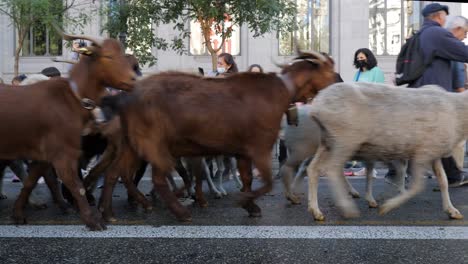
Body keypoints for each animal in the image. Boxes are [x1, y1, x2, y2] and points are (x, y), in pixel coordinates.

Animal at [1, 31, 137, 230]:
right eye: (108, 56)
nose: (133, 80)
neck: (71, 97)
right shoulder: (63, 152)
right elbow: (75, 184)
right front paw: (92, 220)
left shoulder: (46, 154)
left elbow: (31, 180)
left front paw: (17, 214)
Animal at [98, 51, 336, 221]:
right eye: (330, 69)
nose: (340, 80)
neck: (282, 89)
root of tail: (124, 98)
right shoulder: (260, 146)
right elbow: (268, 182)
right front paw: (243, 200)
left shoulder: (242, 151)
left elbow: (248, 178)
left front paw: (250, 205)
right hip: (153, 143)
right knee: (156, 178)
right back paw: (180, 211)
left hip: (132, 144)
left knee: (115, 173)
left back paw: (111, 212)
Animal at [308, 82, 464, 221]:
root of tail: (318, 103)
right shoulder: (424, 152)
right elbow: (417, 185)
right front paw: (389, 205)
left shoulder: (433, 153)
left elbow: (442, 180)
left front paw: (452, 210)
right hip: (345, 141)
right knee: (332, 169)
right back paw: (347, 207)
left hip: (328, 142)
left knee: (314, 169)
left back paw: (316, 211)